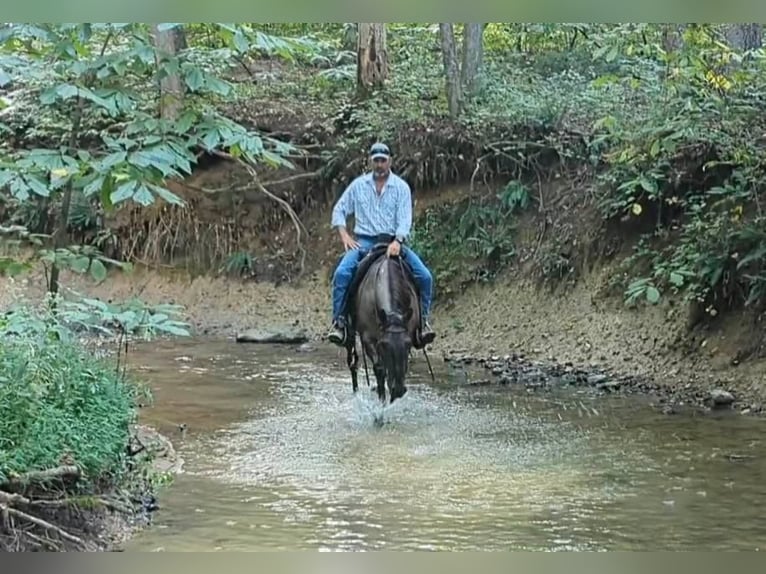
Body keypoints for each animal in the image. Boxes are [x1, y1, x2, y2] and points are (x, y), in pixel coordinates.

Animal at [342, 240, 424, 404]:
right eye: (385, 345)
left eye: (408, 344)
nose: (398, 389)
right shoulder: (368, 339)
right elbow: (379, 369)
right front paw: (382, 402)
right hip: (350, 334)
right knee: (353, 363)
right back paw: (356, 393)